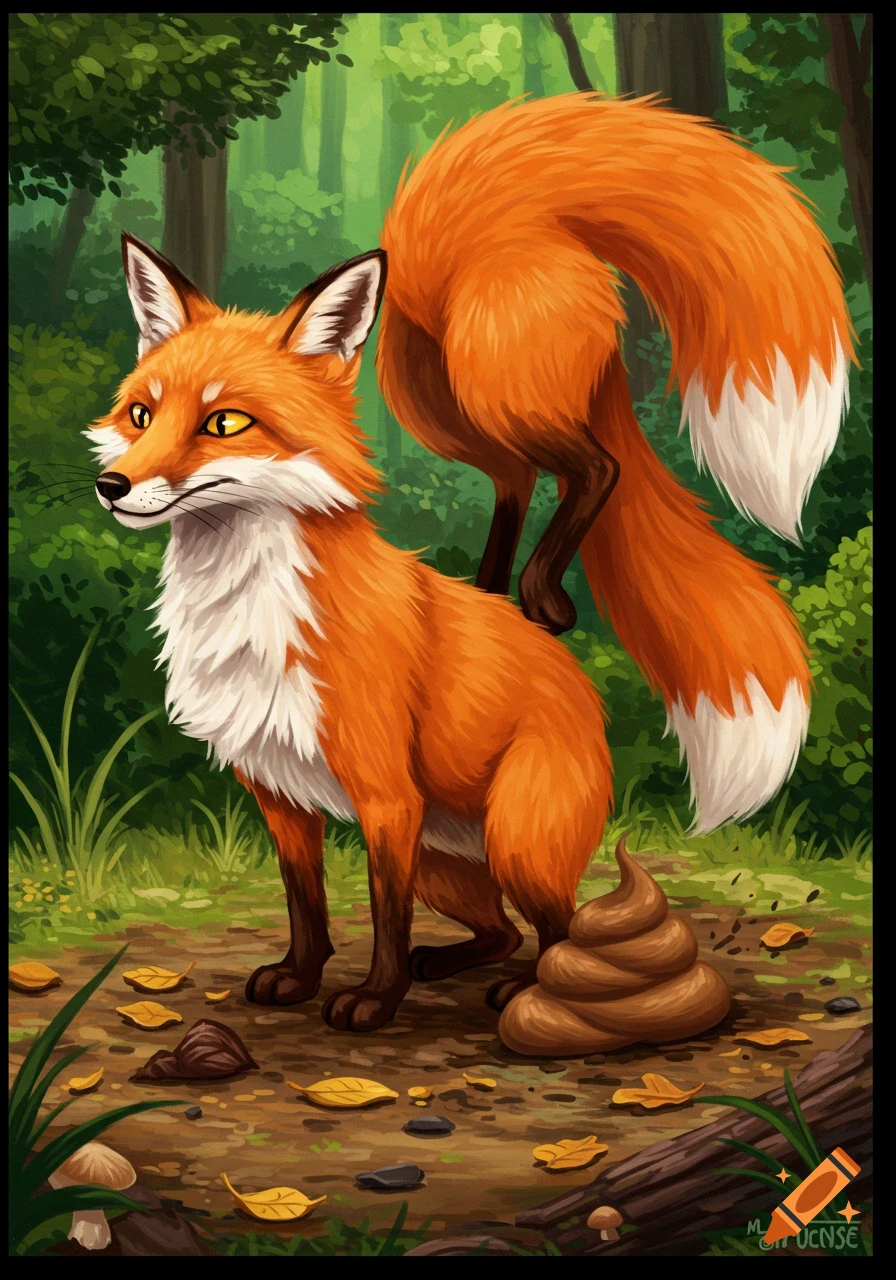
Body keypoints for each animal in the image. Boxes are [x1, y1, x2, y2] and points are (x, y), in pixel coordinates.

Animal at [87, 93, 850, 1032]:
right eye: (141, 413)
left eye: (225, 423)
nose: (112, 486)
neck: (252, 608)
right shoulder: (279, 791)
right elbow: (307, 903)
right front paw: (300, 979)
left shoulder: (386, 798)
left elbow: (382, 914)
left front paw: (374, 1000)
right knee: (503, 928)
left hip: (512, 820)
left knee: (560, 927)